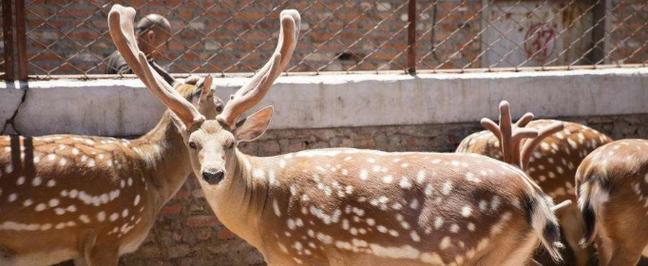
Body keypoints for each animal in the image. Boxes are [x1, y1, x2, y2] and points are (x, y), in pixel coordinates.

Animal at [111, 5, 568, 264]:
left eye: (232, 143)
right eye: (192, 144)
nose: (212, 174)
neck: (263, 216)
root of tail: (536, 199)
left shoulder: (305, 253)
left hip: (477, 252)